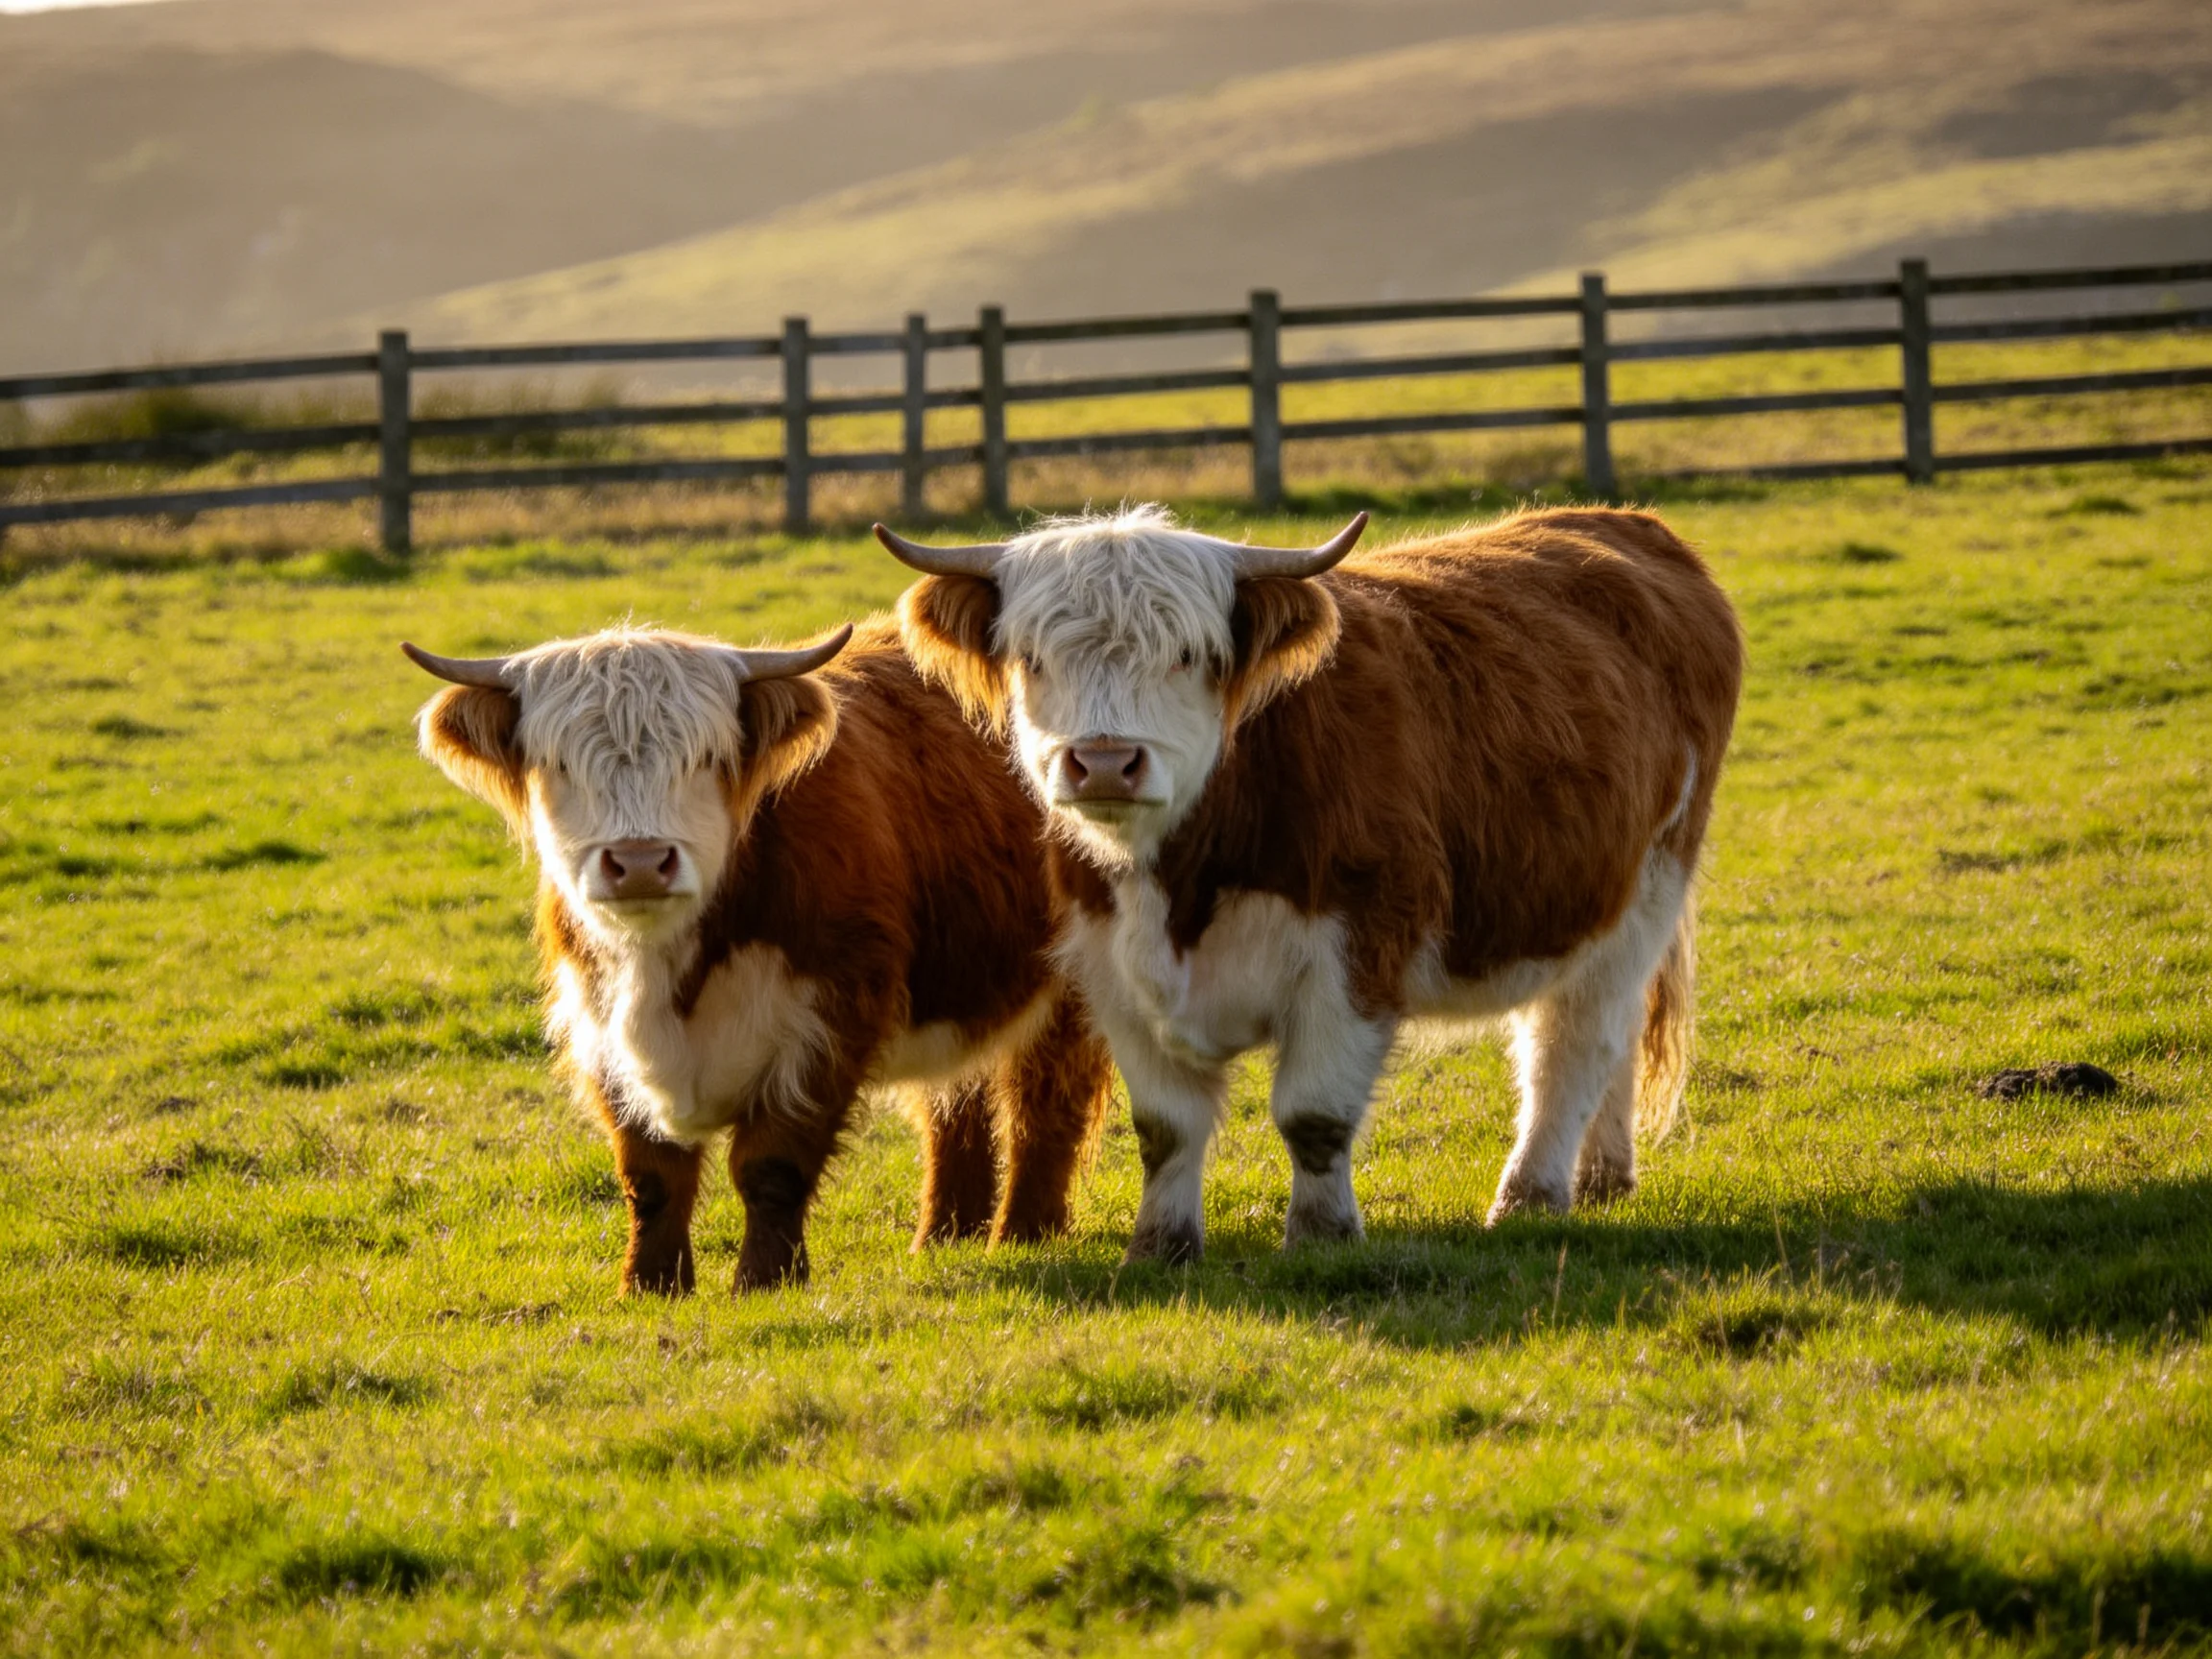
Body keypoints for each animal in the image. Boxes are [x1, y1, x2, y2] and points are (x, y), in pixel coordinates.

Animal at [404, 620, 1113, 1294]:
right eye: (559, 763)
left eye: (705, 758)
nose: (640, 862)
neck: (666, 966)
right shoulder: (599, 1027)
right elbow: (651, 1175)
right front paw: (649, 1286)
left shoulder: (831, 1016)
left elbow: (772, 1165)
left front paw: (764, 1280)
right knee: (953, 1105)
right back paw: (943, 1237)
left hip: (1072, 983)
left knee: (1043, 1104)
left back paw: (1022, 1235)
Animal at [878, 504, 1742, 1263]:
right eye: (1033, 657)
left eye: (1188, 654)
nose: (1105, 762)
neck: (1185, 885)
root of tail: (1622, 523)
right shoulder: (1111, 968)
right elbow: (1165, 1127)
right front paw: (1159, 1247)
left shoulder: (1356, 950)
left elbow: (1314, 1116)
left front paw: (1321, 1238)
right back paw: (1602, 1176)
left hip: (1647, 888)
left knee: (1573, 1042)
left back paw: (1531, 1194)